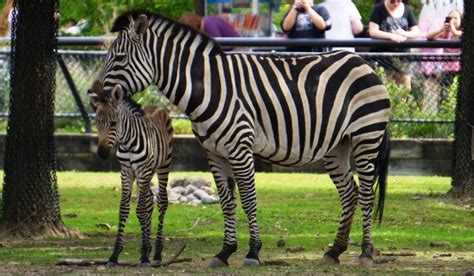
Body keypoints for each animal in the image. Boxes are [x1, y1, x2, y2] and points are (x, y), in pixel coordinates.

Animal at [88, 84, 173, 268]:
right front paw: (115, 254)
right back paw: (149, 247)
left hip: (162, 165)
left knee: (161, 201)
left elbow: (140, 209)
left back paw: (156, 252)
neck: (127, 143)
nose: (102, 154)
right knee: (149, 201)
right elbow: (124, 208)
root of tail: (155, 106)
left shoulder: (142, 170)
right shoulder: (126, 171)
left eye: (113, 123)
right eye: (97, 123)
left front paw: (144, 256)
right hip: (147, 172)